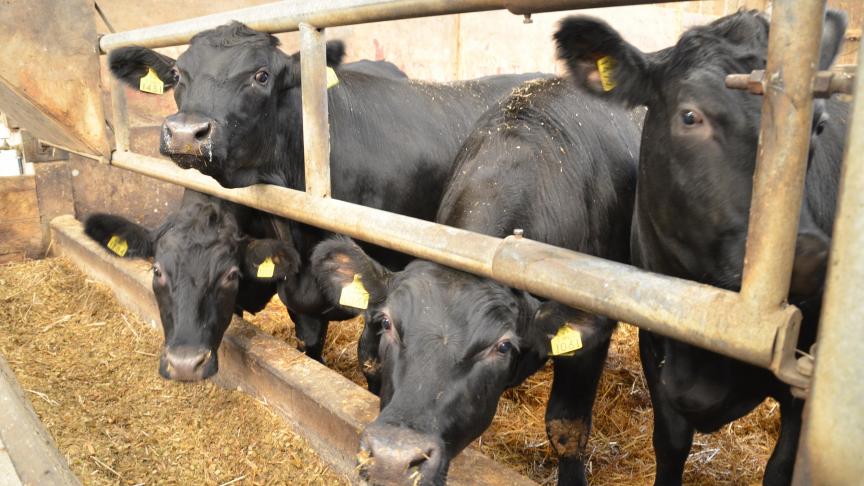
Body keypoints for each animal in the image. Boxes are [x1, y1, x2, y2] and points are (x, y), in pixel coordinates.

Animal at [556, 8, 848, 486]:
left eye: (818, 126)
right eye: (690, 116)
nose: (807, 257)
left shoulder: (804, 381)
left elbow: (781, 466)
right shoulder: (657, 347)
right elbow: (671, 444)